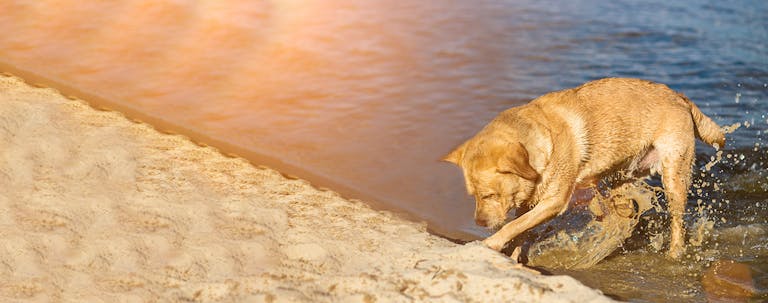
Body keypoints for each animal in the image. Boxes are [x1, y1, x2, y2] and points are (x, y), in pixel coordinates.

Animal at [444, 78, 728, 258]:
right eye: (473, 196)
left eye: (490, 195)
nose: (479, 222)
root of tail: (679, 97)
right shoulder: (529, 201)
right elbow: (521, 228)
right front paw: (513, 256)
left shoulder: (555, 201)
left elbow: (513, 226)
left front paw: (490, 243)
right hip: (625, 173)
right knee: (625, 204)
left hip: (674, 177)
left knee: (678, 223)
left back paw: (674, 253)